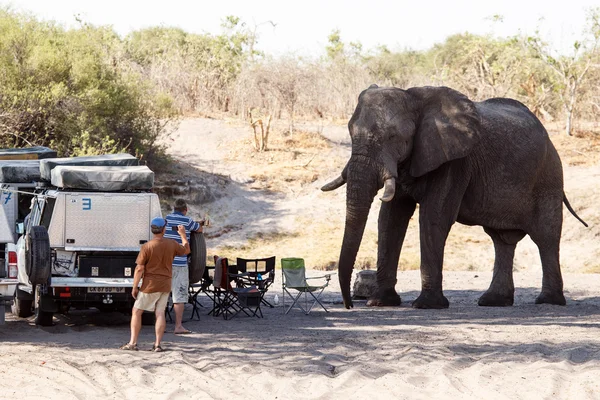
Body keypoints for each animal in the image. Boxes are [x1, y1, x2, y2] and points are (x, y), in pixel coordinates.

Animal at [322, 84, 588, 310]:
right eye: (350, 133)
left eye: (393, 137)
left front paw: (426, 306)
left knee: (546, 237)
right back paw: (493, 301)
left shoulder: (455, 161)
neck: (414, 98)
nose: (349, 305)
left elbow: (433, 216)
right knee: (501, 239)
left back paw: (548, 301)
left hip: (549, 177)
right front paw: (380, 303)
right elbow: (390, 219)